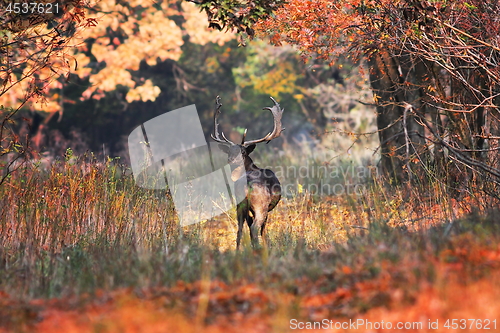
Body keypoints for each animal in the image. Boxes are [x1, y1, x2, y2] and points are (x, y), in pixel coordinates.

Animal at [210, 94, 284, 248]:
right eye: (230, 151)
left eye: (242, 152)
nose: (231, 159)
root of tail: (246, 184)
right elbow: (263, 229)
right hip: (260, 204)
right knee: (255, 227)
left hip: (240, 204)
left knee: (240, 228)